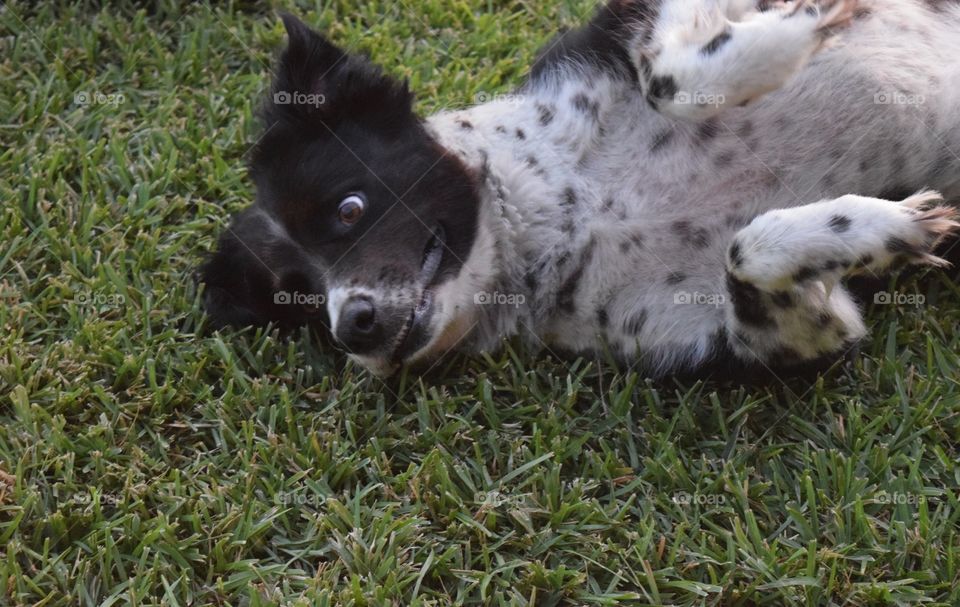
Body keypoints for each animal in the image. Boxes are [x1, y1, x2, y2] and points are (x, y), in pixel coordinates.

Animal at [201, 0, 960, 378]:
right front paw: (887, 229)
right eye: (300, 299)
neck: (575, 209)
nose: (351, 325)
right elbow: (747, 252)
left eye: (349, 208)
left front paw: (806, 23)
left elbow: (672, 76)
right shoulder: (759, 337)